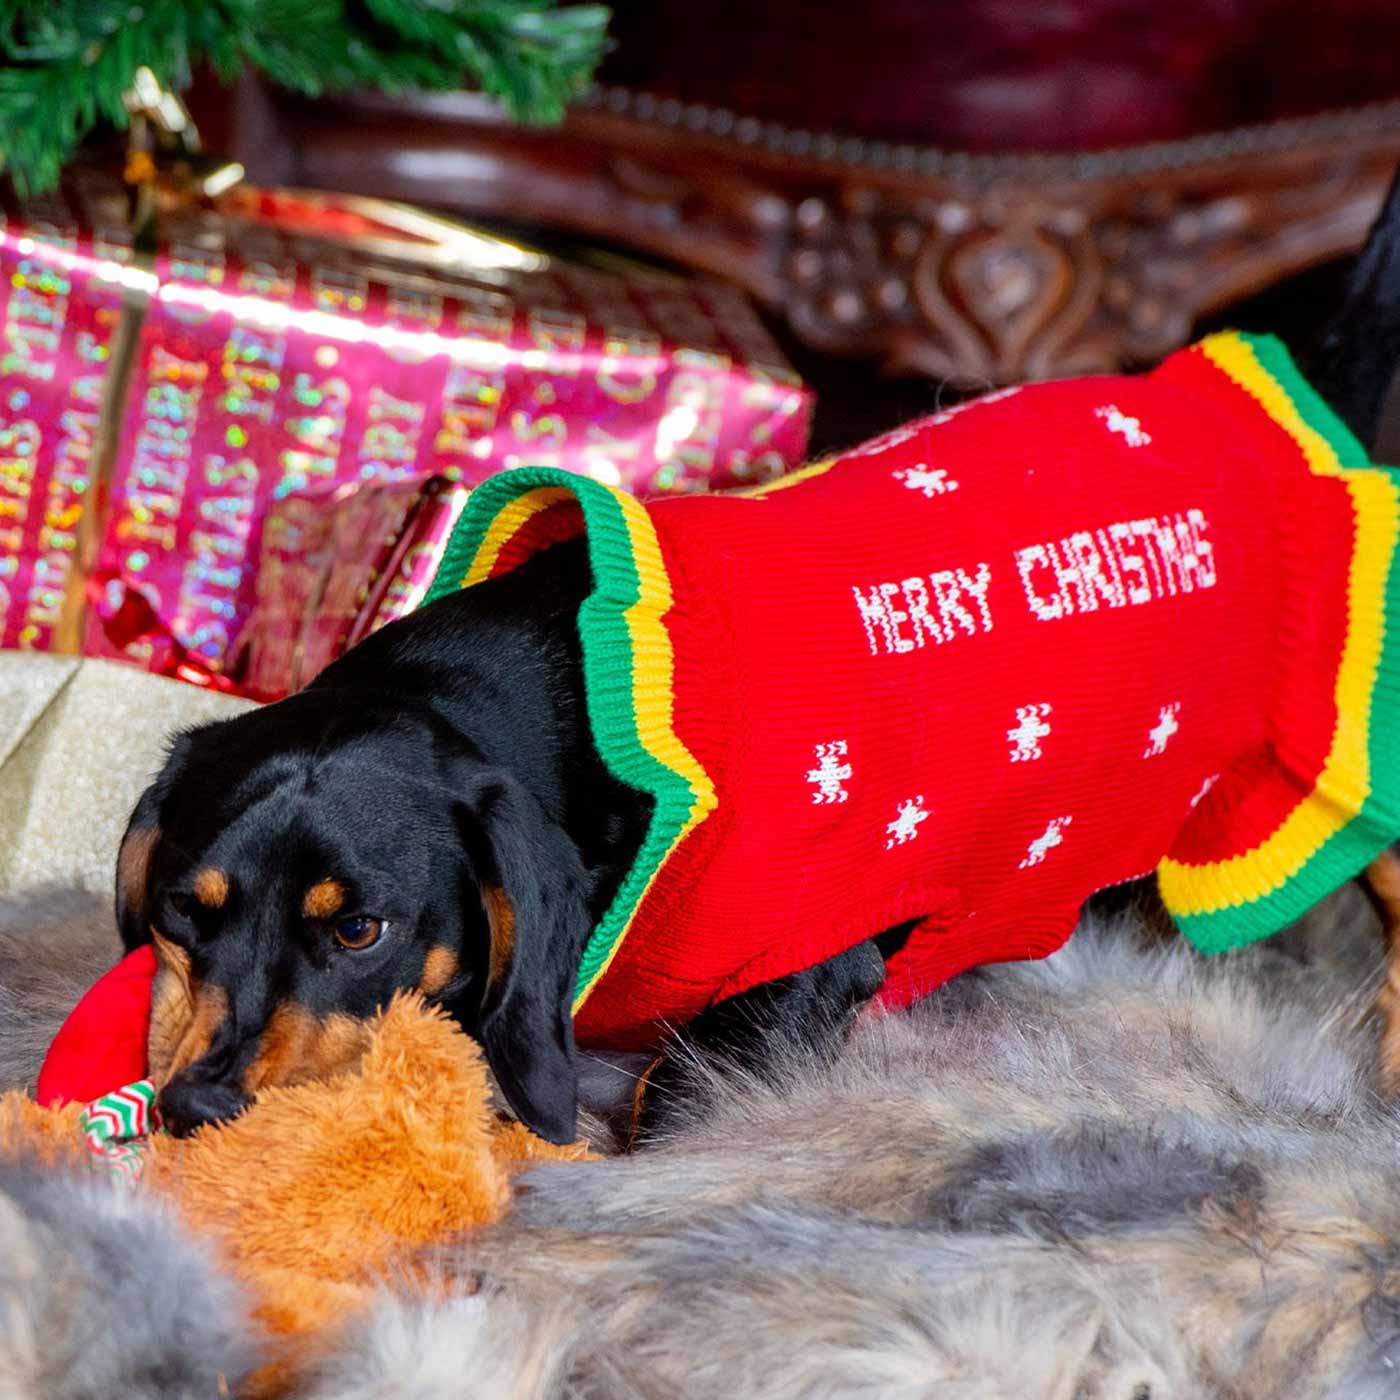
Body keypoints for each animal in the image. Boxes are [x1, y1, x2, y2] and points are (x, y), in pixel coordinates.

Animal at [117, 169, 1400, 1142]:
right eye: (182, 909)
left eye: (359, 930)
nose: (193, 1107)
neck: (581, 707)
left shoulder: (792, 982)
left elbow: (667, 1100)